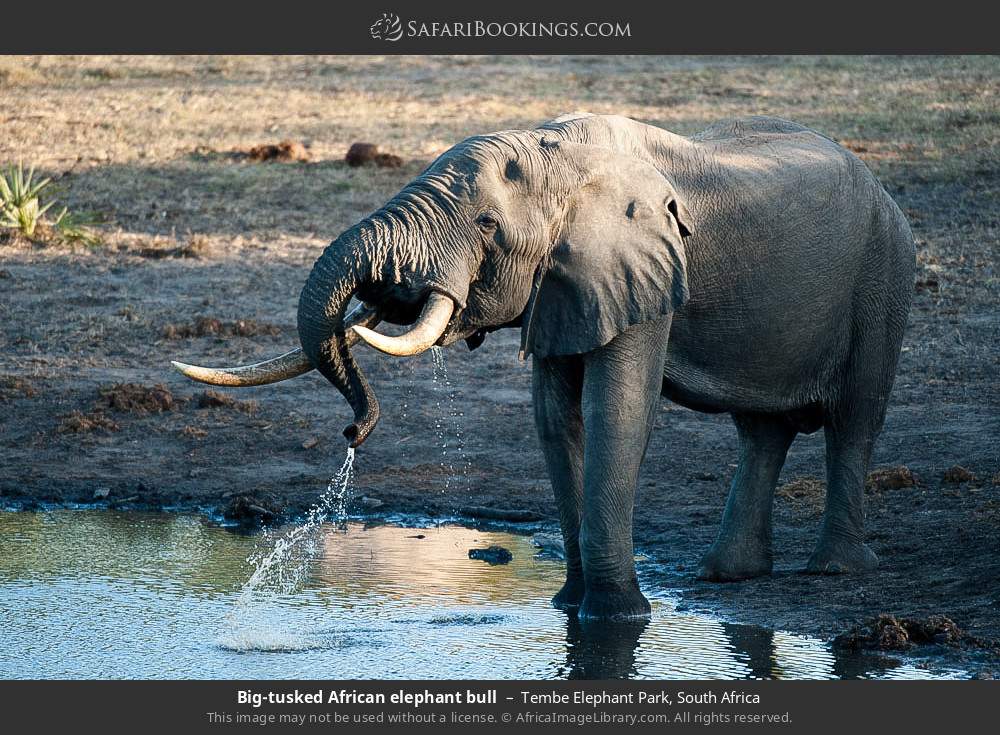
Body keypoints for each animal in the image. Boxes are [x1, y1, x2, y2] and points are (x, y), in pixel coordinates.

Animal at [173, 113, 915, 620]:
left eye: (484, 227)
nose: (354, 433)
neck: (558, 152)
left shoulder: (640, 265)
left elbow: (616, 412)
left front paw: (616, 618)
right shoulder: (562, 283)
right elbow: (556, 420)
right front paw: (570, 608)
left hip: (885, 271)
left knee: (856, 418)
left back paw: (832, 572)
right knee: (761, 430)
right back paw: (727, 577)